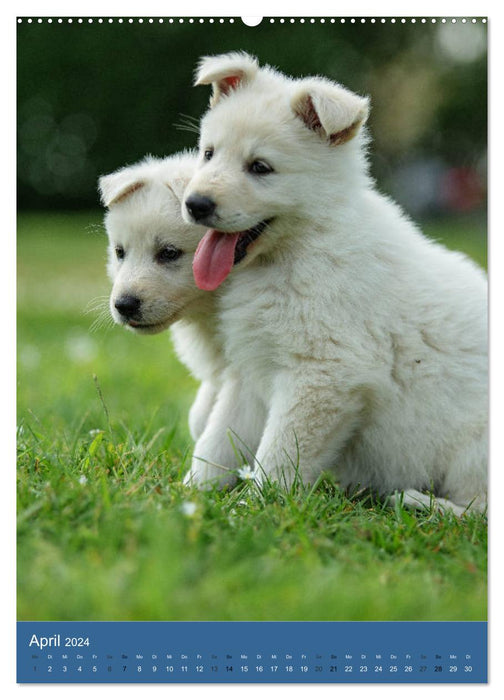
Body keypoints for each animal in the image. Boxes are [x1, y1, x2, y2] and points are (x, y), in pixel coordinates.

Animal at [182, 52, 488, 516]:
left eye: (260, 167)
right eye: (208, 153)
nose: (194, 204)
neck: (306, 242)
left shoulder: (324, 374)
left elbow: (278, 454)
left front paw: (254, 510)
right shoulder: (250, 372)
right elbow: (217, 442)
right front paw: (186, 496)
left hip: (475, 447)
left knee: (478, 509)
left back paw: (420, 501)